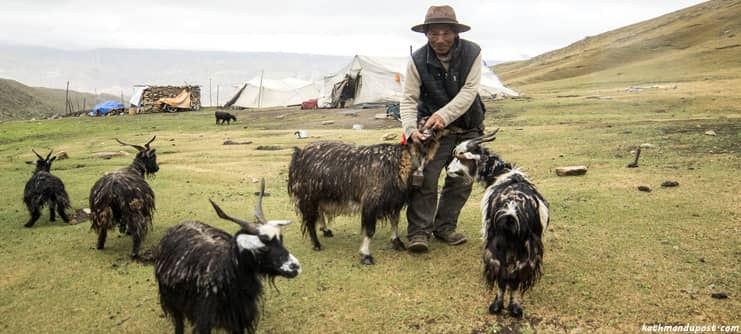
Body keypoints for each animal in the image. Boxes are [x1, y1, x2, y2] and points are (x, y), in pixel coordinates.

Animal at [154, 180, 300, 334]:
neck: (225, 270)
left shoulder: (240, 318)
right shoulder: (204, 319)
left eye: (280, 239)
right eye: (264, 247)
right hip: (171, 300)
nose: (295, 267)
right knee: (178, 322)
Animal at [288, 127, 440, 264]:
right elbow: (370, 230)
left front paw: (397, 242)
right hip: (308, 196)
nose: (432, 131)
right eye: (422, 130)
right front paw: (366, 255)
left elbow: (395, 221)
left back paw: (326, 230)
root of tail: (299, 154)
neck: (398, 162)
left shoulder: (393, 201)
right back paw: (316, 244)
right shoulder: (371, 202)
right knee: (309, 220)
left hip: (319, 195)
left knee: (319, 212)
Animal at [446, 129, 548, 318]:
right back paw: (513, 307)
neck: (501, 173)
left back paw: (497, 306)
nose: (448, 169)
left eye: (461, 157)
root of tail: (512, 211)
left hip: (496, 248)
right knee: (513, 278)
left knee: (503, 277)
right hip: (526, 253)